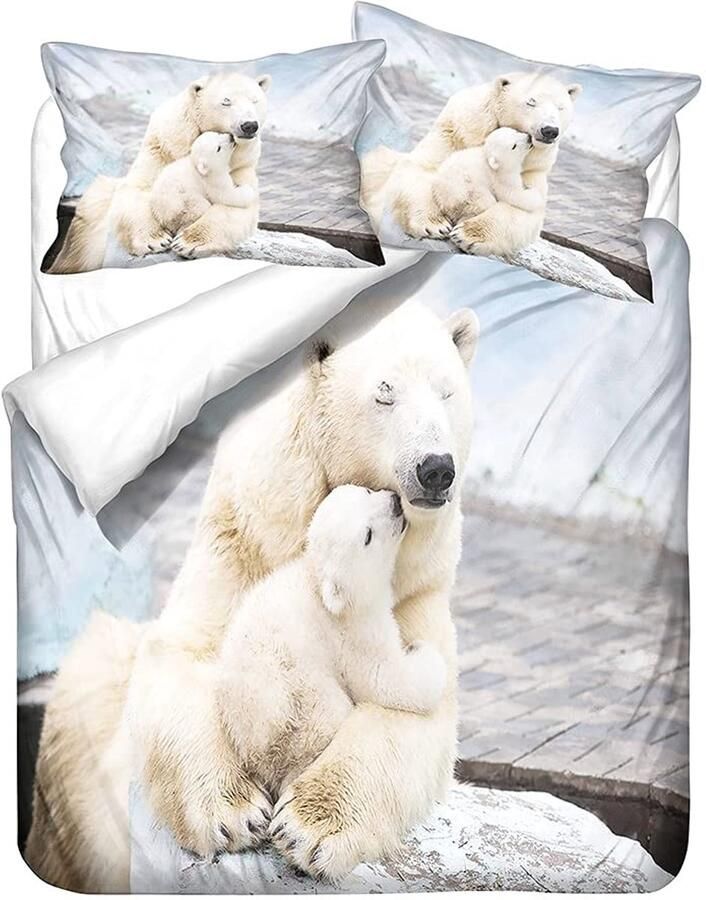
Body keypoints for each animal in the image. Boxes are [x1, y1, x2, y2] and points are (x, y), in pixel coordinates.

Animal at [49, 71, 271, 273]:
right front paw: (156, 241)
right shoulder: (161, 147)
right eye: (226, 102)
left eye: (255, 100)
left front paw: (188, 243)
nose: (249, 125)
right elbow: (140, 190)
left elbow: (235, 205)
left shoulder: (241, 164)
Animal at [217, 485, 447, 822]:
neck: (318, 582)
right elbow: (383, 679)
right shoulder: (353, 630)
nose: (395, 503)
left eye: (366, 491)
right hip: (303, 701)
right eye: (367, 536)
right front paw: (421, 650)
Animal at [360, 71, 581, 256]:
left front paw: (467, 234)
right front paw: (435, 225)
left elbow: (523, 207)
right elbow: (422, 169)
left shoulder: (533, 167)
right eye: (531, 102)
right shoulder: (454, 132)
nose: (550, 130)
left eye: (561, 108)